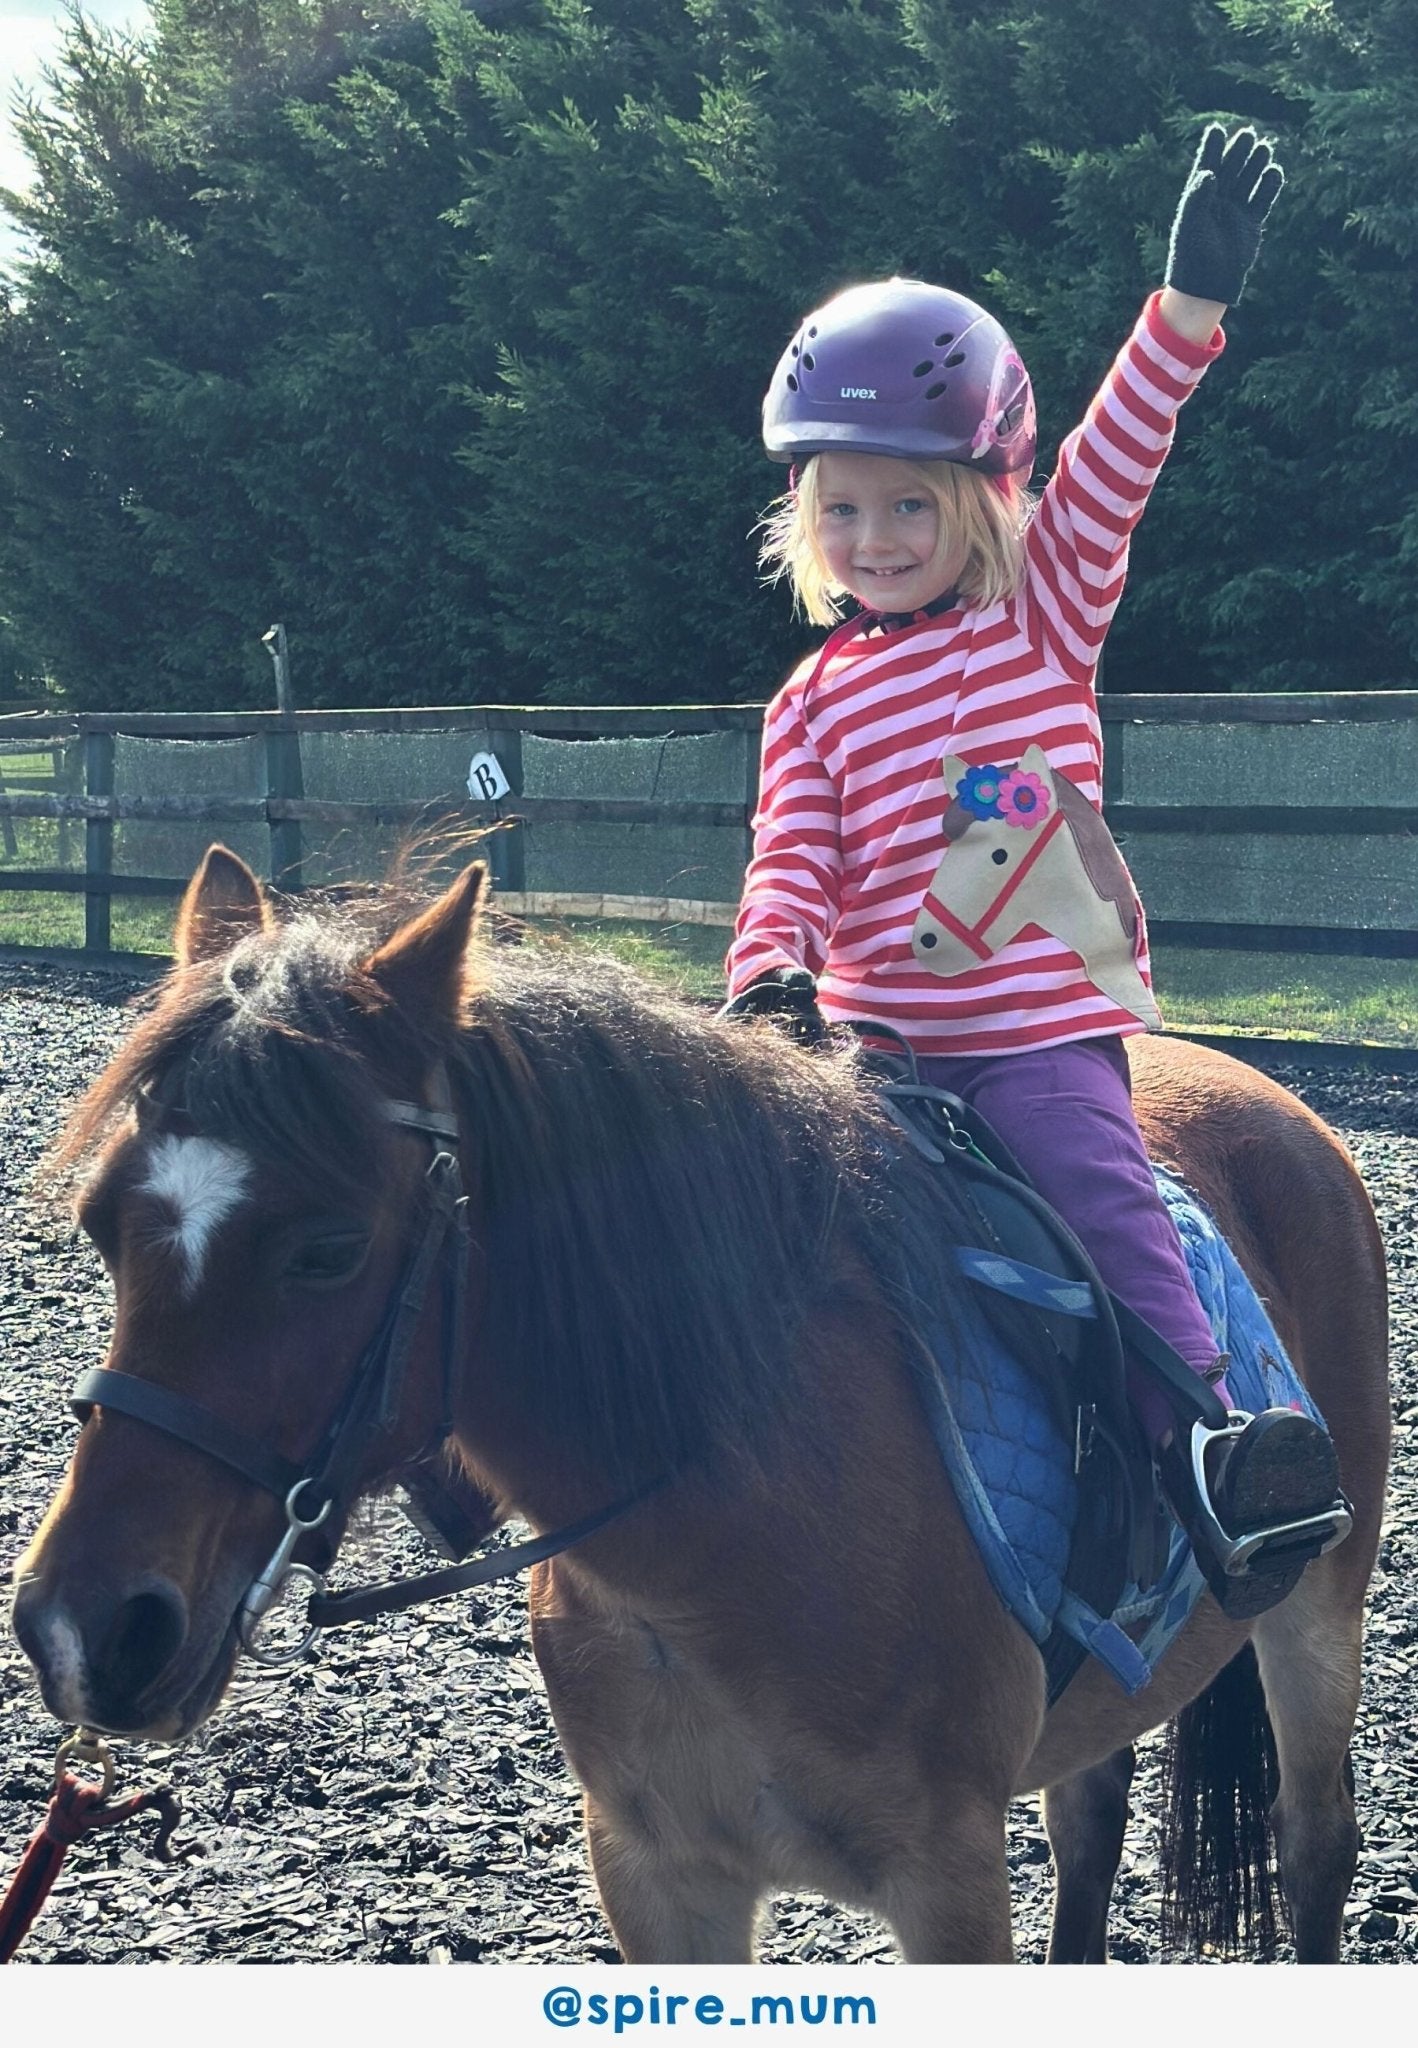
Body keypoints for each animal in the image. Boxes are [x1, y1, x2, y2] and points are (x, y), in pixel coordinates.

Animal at [9, 845, 1390, 1964]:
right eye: (101, 1226)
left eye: (329, 1250)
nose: (86, 1630)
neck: (716, 1539)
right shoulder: (656, 1874)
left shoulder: (945, 1878)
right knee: (1091, 1819)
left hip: (1318, 1603)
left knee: (1313, 1845)